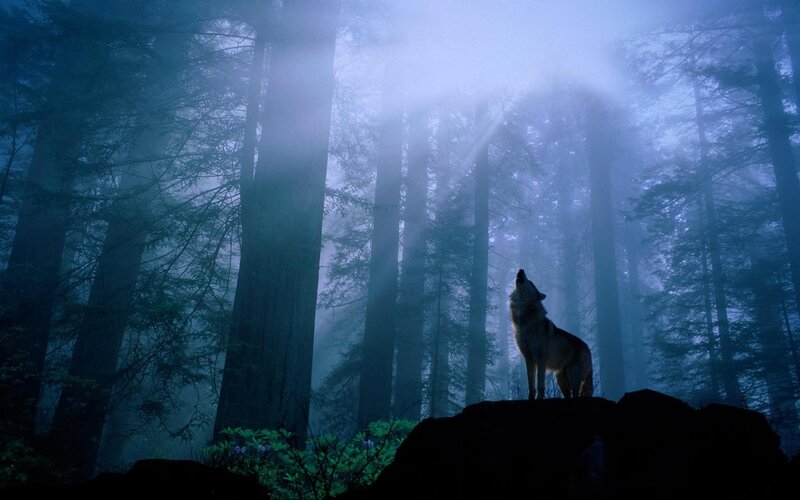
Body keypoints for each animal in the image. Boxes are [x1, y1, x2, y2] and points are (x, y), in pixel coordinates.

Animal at [510, 269, 593, 399]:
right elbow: (531, 385)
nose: (521, 269)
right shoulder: (529, 359)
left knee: (575, 393)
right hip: (561, 380)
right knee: (568, 395)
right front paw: (530, 399)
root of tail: (587, 348)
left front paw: (539, 398)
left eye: (530, 282)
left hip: (573, 379)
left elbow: (540, 384)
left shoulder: (541, 359)